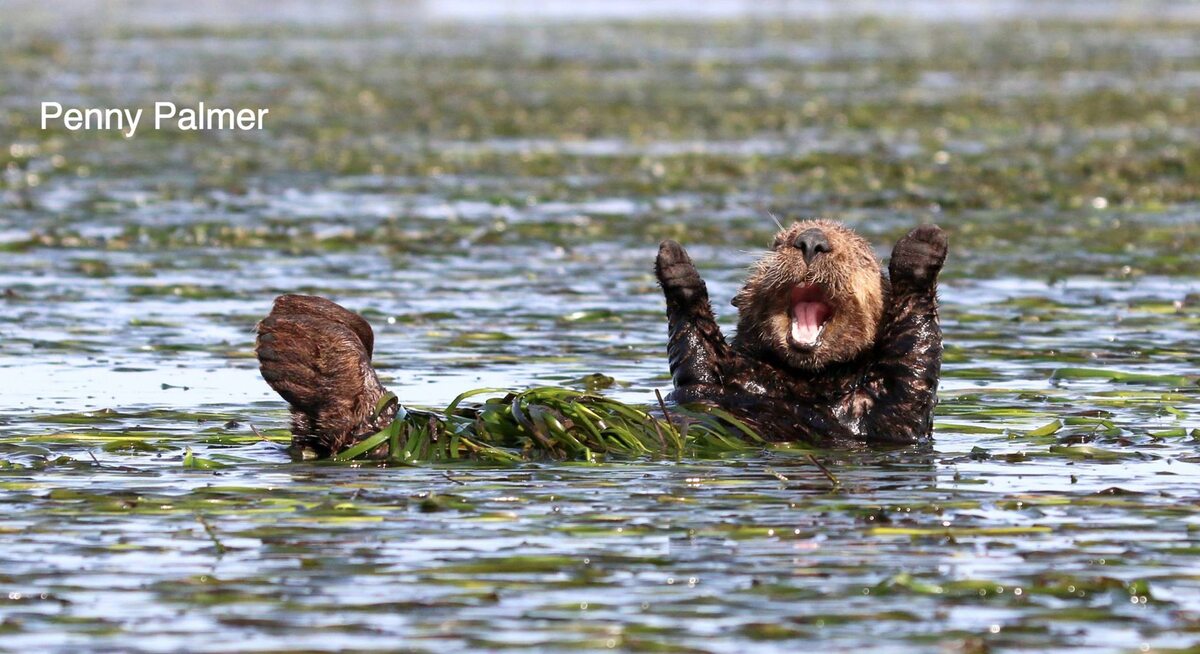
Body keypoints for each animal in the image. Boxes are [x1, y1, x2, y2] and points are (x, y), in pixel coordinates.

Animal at [255, 219, 945, 453]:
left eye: (860, 253)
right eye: (781, 239)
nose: (812, 241)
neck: (794, 381)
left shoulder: (885, 412)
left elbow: (913, 356)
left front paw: (921, 251)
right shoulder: (714, 379)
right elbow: (696, 349)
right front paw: (677, 266)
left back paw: (302, 345)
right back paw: (304, 337)